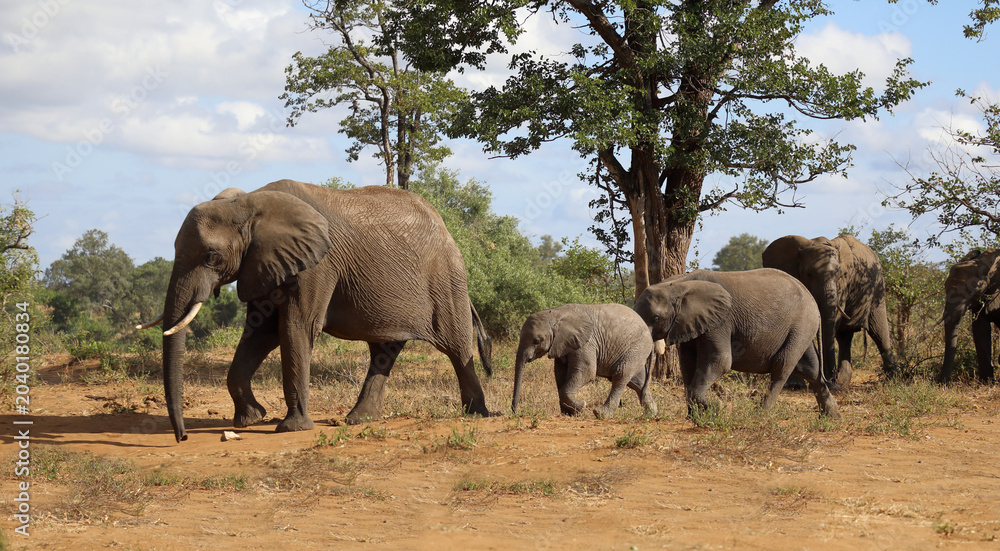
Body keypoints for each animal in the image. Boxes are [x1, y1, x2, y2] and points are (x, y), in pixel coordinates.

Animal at [137, 180, 492, 442]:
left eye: (212, 257)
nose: (182, 437)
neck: (249, 203)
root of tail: (446, 229)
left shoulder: (318, 265)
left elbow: (296, 327)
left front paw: (290, 428)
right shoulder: (265, 263)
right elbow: (260, 331)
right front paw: (250, 420)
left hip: (446, 279)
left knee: (457, 346)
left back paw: (476, 413)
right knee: (384, 350)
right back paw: (358, 420)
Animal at [510, 303, 657, 418]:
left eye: (536, 341)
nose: (515, 412)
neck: (556, 313)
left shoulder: (586, 342)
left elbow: (587, 371)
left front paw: (581, 406)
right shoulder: (562, 345)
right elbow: (559, 375)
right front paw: (568, 414)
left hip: (637, 347)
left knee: (620, 375)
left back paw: (601, 414)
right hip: (637, 351)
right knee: (638, 383)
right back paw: (651, 414)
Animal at [633, 269, 841, 419]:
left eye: (655, 318)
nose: (651, 412)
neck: (678, 284)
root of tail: (811, 297)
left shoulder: (720, 323)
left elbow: (720, 362)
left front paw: (715, 408)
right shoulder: (687, 324)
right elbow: (687, 365)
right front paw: (693, 417)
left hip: (801, 324)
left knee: (783, 366)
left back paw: (760, 415)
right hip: (802, 329)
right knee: (810, 369)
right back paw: (832, 418)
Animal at [762, 234, 896, 387]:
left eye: (840, 274)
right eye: (809, 274)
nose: (831, 380)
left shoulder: (843, 285)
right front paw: (794, 386)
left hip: (878, 288)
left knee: (879, 333)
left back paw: (892, 379)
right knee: (844, 336)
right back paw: (843, 382)